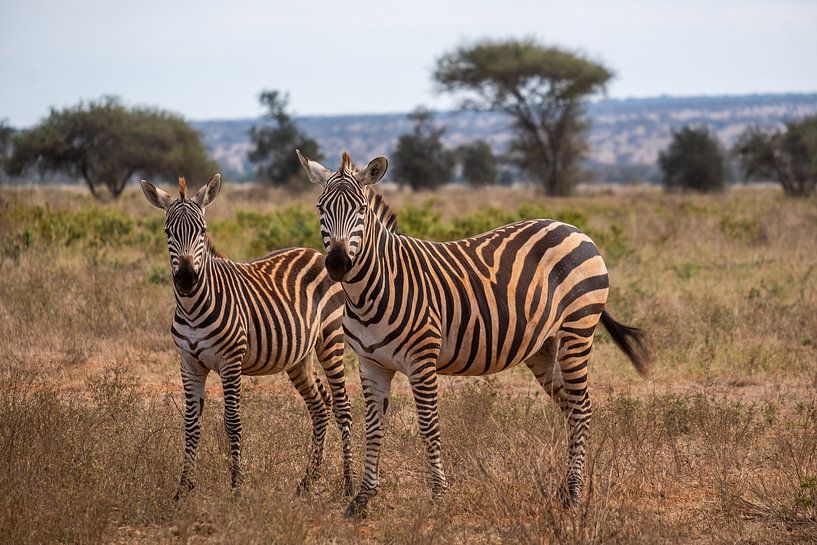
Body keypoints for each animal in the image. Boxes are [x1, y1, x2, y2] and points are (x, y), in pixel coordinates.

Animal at [141, 173, 356, 498]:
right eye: (168, 231)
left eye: (202, 231)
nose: (187, 279)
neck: (193, 307)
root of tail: (318, 253)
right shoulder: (188, 363)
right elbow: (190, 424)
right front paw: (183, 490)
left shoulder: (230, 362)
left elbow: (232, 421)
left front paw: (235, 488)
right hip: (299, 356)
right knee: (320, 405)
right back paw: (307, 482)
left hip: (331, 338)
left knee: (342, 406)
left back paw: (349, 484)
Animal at [296, 151, 652, 516]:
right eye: (320, 208)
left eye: (361, 209)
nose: (338, 264)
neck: (372, 290)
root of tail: (574, 229)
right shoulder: (371, 364)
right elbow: (373, 427)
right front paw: (362, 498)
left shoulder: (422, 361)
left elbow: (429, 425)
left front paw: (439, 496)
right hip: (545, 347)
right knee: (570, 407)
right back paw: (564, 490)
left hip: (578, 330)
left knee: (582, 408)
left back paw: (575, 495)